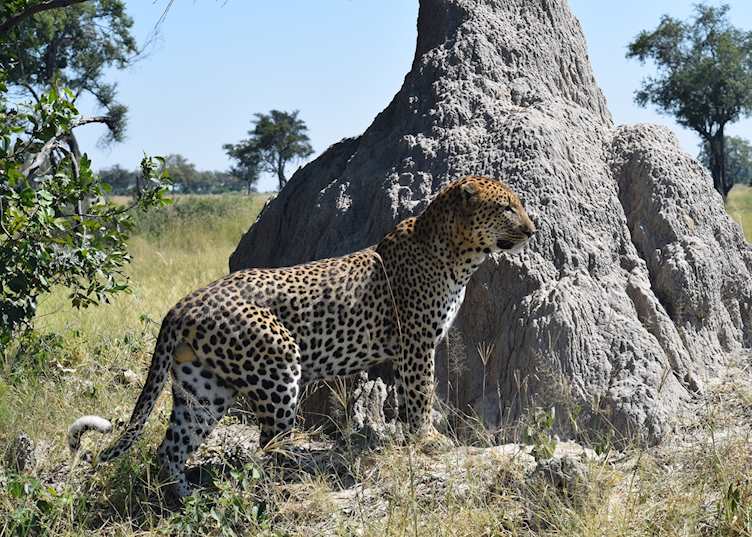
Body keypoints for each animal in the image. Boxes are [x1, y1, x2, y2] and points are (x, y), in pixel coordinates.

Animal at [68, 175, 537, 497]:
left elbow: (410, 397)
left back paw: (185, 498)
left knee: (171, 447)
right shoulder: (417, 344)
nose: (532, 230)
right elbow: (421, 395)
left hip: (203, 387)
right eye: (506, 208)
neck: (459, 254)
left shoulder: (411, 349)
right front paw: (428, 440)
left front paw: (412, 438)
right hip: (278, 362)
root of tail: (181, 304)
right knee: (269, 441)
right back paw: (301, 472)